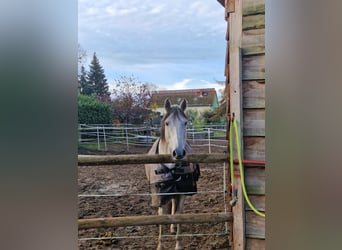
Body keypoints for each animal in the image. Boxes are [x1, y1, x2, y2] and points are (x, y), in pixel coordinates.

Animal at [145, 98, 200, 249]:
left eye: (185, 122)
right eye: (167, 123)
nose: (179, 153)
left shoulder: (181, 192)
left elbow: (178, 213)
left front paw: (178, 244)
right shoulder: (161, 195)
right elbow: (162, 216)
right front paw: (160, 246)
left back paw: (173, 227)